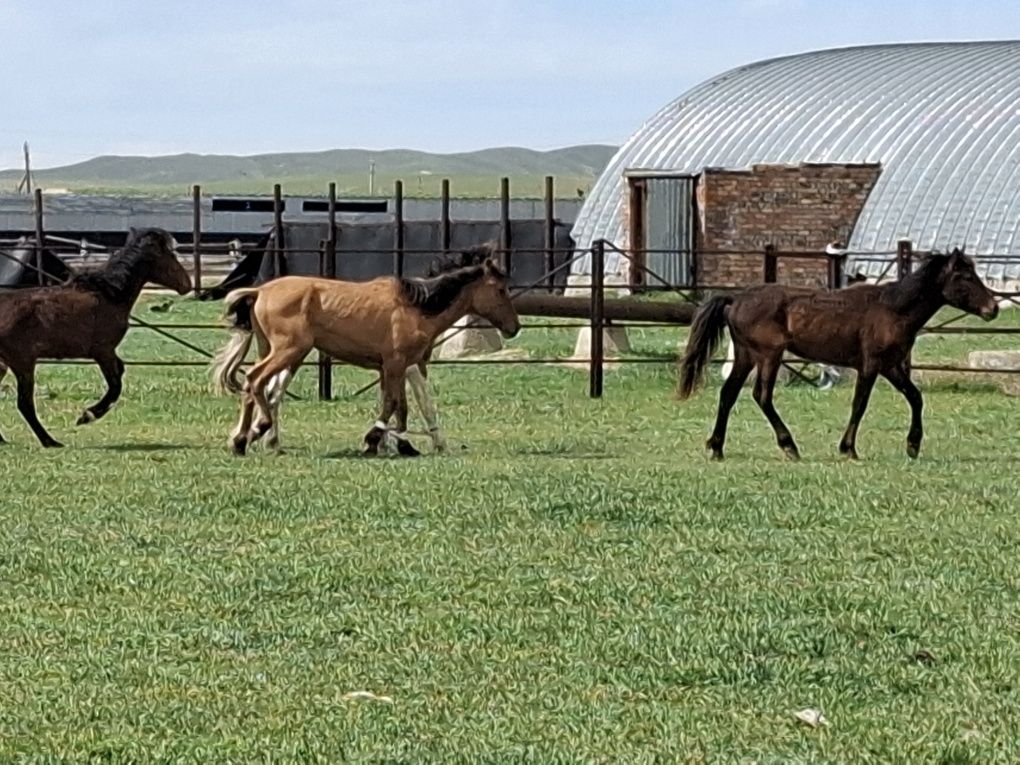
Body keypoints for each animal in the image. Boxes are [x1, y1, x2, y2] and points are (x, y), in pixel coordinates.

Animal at [0, 224, 191, 446]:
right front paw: (87, 415)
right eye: (170, 255)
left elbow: (120, 372)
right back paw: (50, 441)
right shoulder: (103, 351)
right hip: (23, 363)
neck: (109, 294)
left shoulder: (108, 352)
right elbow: (115, 385)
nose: (186, 284)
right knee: (25, 404)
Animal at [212, 245, 522, 459]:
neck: (415, 307)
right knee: (255, 380)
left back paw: (244, 439)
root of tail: (260, 291)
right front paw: (374, 439)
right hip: (288, 351)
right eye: (500, 289)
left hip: (277, 351)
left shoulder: (391, 368)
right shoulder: (397, 364)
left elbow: (400, 407)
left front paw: (397, 443)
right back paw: (255, 432)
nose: (514, 327)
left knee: (260, 389)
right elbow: (393, 405)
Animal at [677, 248, 995, 459]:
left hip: (746, 355)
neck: (893, 308)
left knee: (729, 394)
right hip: (768, 355)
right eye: (965, 276)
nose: (992, 308)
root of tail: (737, 298)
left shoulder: (891, 366)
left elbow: (915, 397)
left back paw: (717, 447)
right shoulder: (871, 365)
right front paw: (848, 449)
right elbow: (860, 404)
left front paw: (913, 445)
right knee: (761, 396)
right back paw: (789, 446)